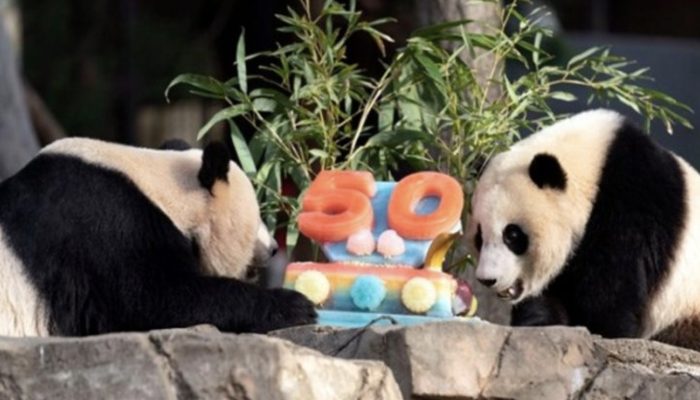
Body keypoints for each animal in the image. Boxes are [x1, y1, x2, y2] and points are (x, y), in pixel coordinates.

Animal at [467, 109, 700, 349]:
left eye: (512, 235)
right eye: (479, 237)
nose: (487, 279)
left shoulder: (633, 205)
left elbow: (613, 286)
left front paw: (601, 330)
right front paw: (540, 325)